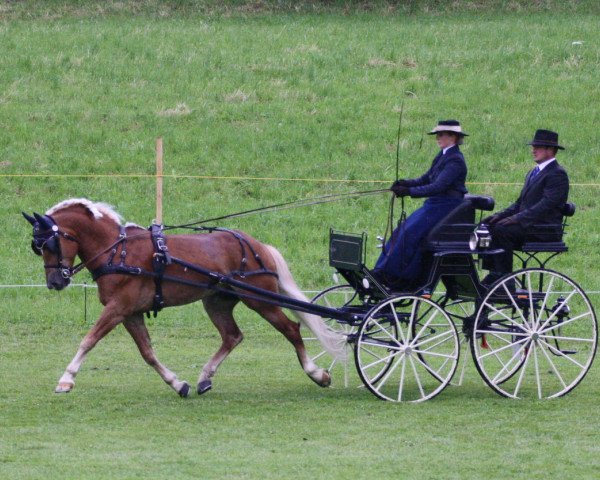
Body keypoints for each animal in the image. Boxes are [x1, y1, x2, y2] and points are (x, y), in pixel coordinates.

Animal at [23, 199, 344, 398]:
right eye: (37, 247)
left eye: (49, 244)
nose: (55, 282)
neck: (118, 251)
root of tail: (257, 245)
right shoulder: (130, 313)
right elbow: (148, 353)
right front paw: (178, 384)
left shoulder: (117, 309)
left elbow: (88, 340)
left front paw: (66, 379)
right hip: (216, 302)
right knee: (232, 336)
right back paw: (205, 377)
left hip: (259, 299)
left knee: (291, 329)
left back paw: (316, 373)